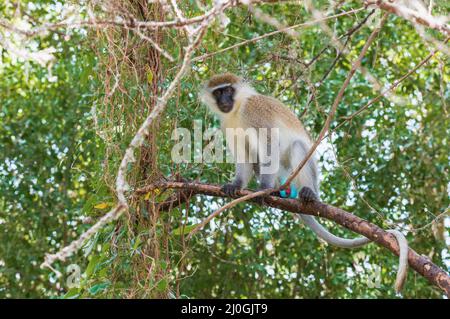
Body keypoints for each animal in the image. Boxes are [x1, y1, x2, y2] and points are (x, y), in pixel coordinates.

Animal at [200, 72, 408, 292]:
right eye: (218, 92)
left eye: (228, 90)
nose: (224, 100)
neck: (238, 109)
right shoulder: (227, 126)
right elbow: (243, 155)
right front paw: (236, 185)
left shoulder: (254, 111)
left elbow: (269, 146)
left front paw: (263, 189)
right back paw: (278, 191)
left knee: (297, 147)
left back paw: (304, 193)